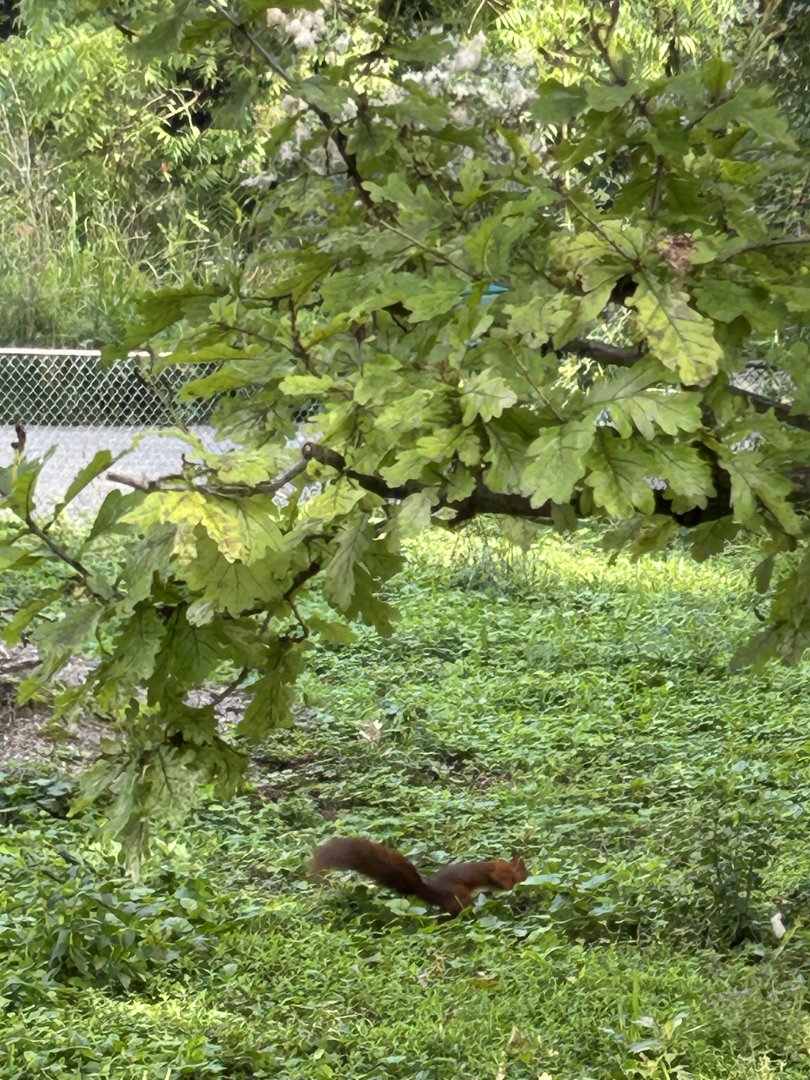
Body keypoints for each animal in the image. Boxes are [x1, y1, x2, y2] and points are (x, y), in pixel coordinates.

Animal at [312, 836, 529, 917]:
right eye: (526, 871)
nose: (530, 876)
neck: (509, 867)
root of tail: (431, 893)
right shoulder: (499, 872)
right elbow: (501, 880)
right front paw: (511, 887)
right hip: (459, 896)